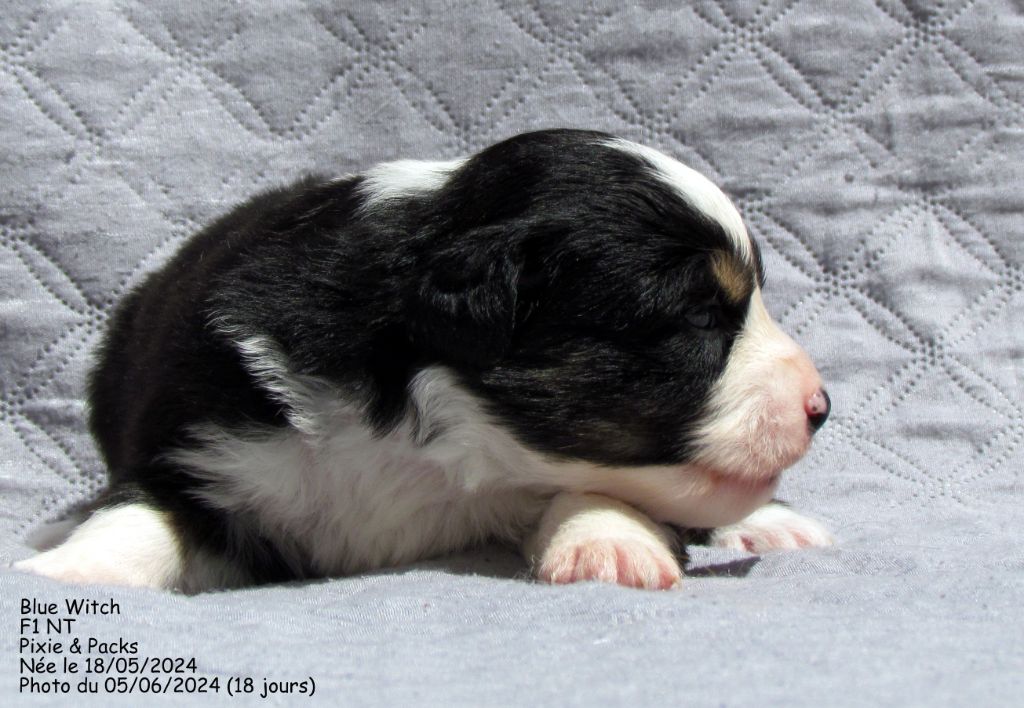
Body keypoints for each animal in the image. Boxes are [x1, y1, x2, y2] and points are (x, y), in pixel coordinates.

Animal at [15, 129, 833, 592]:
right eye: (699, 317)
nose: (821, 407)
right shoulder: (198, 429)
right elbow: (144, 510)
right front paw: (69, 574)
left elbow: (598, 489)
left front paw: (609, 543)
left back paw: (773, 526)